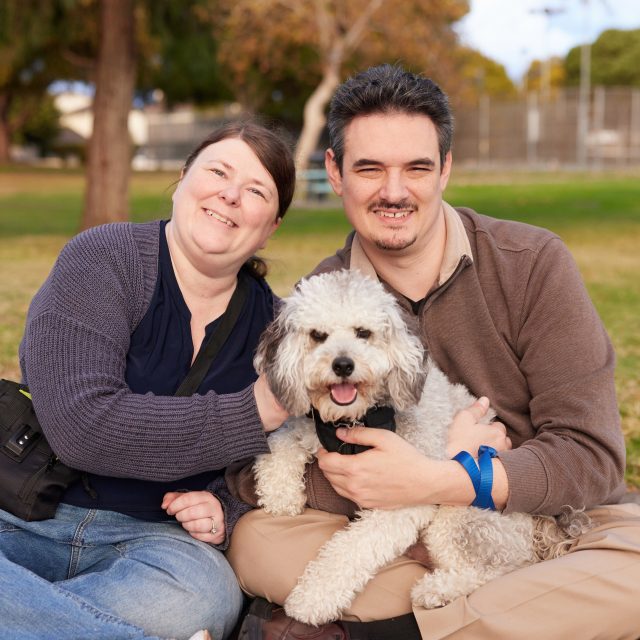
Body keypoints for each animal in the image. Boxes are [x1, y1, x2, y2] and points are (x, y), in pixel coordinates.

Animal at [251, 268, 592, 624]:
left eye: (363, 333)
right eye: (318, 335)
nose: (343, 365)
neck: (356, 419)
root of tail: (539, 526)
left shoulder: (403, 496)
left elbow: (350, 549)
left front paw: (311, 600)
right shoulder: (306, 426)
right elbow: (278, 442)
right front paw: (281, 497)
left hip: (461, 511)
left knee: (497, 571)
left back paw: (437, 591)